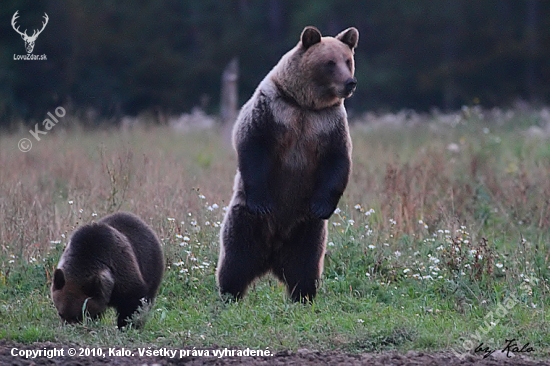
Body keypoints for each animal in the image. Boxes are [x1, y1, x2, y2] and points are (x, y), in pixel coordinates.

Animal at [216, 25, 358, 300]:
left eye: (348, 61)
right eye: (330, 63)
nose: (350, 83)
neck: (305, 103)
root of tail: (271, 256)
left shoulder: (328, 123)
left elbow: (337, 161)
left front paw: (322, 206)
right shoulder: (272, 110)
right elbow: (253, 144)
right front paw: (262, 202)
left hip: (306, 230)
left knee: (305, 266)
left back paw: (304, 296)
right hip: (245, 220)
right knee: (235, 259)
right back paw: (229, 294)